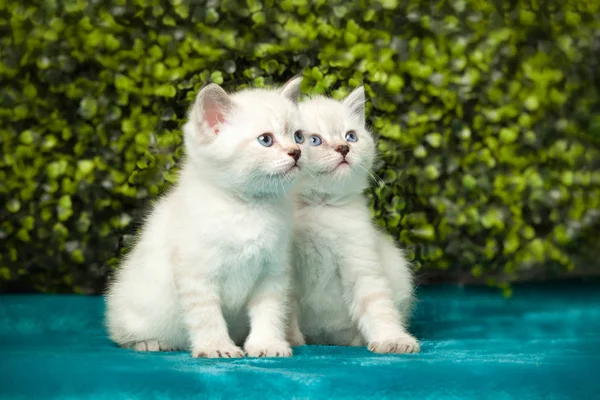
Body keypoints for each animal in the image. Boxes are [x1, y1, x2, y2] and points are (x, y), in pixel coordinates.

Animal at [103, 76, 308, 358]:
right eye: (266, 140)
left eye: (298, 137)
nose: (296, 152)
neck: (247, 207)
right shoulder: (198, 275)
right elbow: (207, 317)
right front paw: (217, 347)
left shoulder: (273, 273)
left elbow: (270, 313)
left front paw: (267, 344)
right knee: (122, 333)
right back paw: (148, 342)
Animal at [288, 86, 420, 354]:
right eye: (314, 140)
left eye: (350, 137)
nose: (343, 148)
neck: (320, 207)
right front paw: (292, 341)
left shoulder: (361, 264)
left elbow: (377, 305)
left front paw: (393, 339)